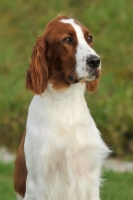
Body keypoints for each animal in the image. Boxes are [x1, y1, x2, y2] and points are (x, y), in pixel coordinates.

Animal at [13, 14, 109, 199]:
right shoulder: (39, 182)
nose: (95, 61)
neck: (66, 104)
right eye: (67, 39)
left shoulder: (90, 177)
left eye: (89, 38)